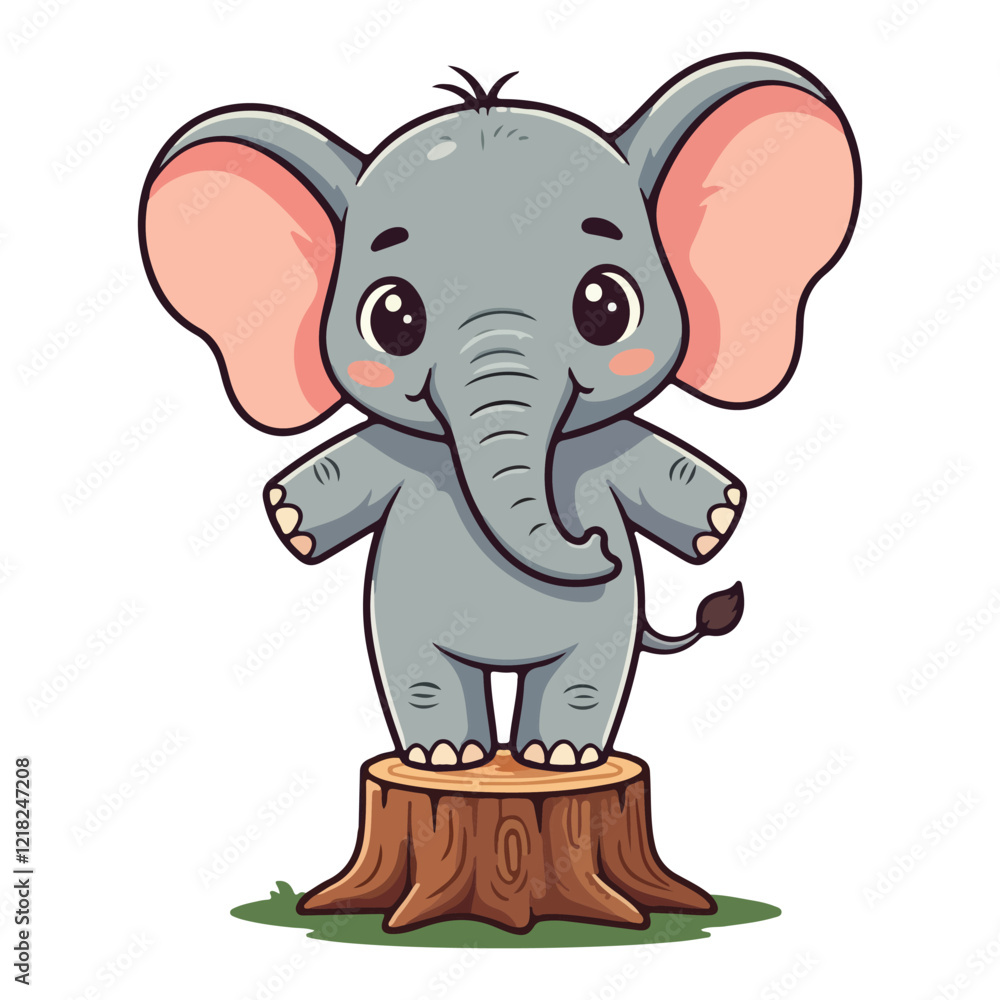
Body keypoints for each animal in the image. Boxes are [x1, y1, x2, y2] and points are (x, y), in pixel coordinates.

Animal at [140, 55, 859, 771]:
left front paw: (717, 522)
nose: (595, 543)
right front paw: (289, 519)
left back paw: (560, 755)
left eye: (606, 306)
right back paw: (447, 756)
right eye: (392, 318)